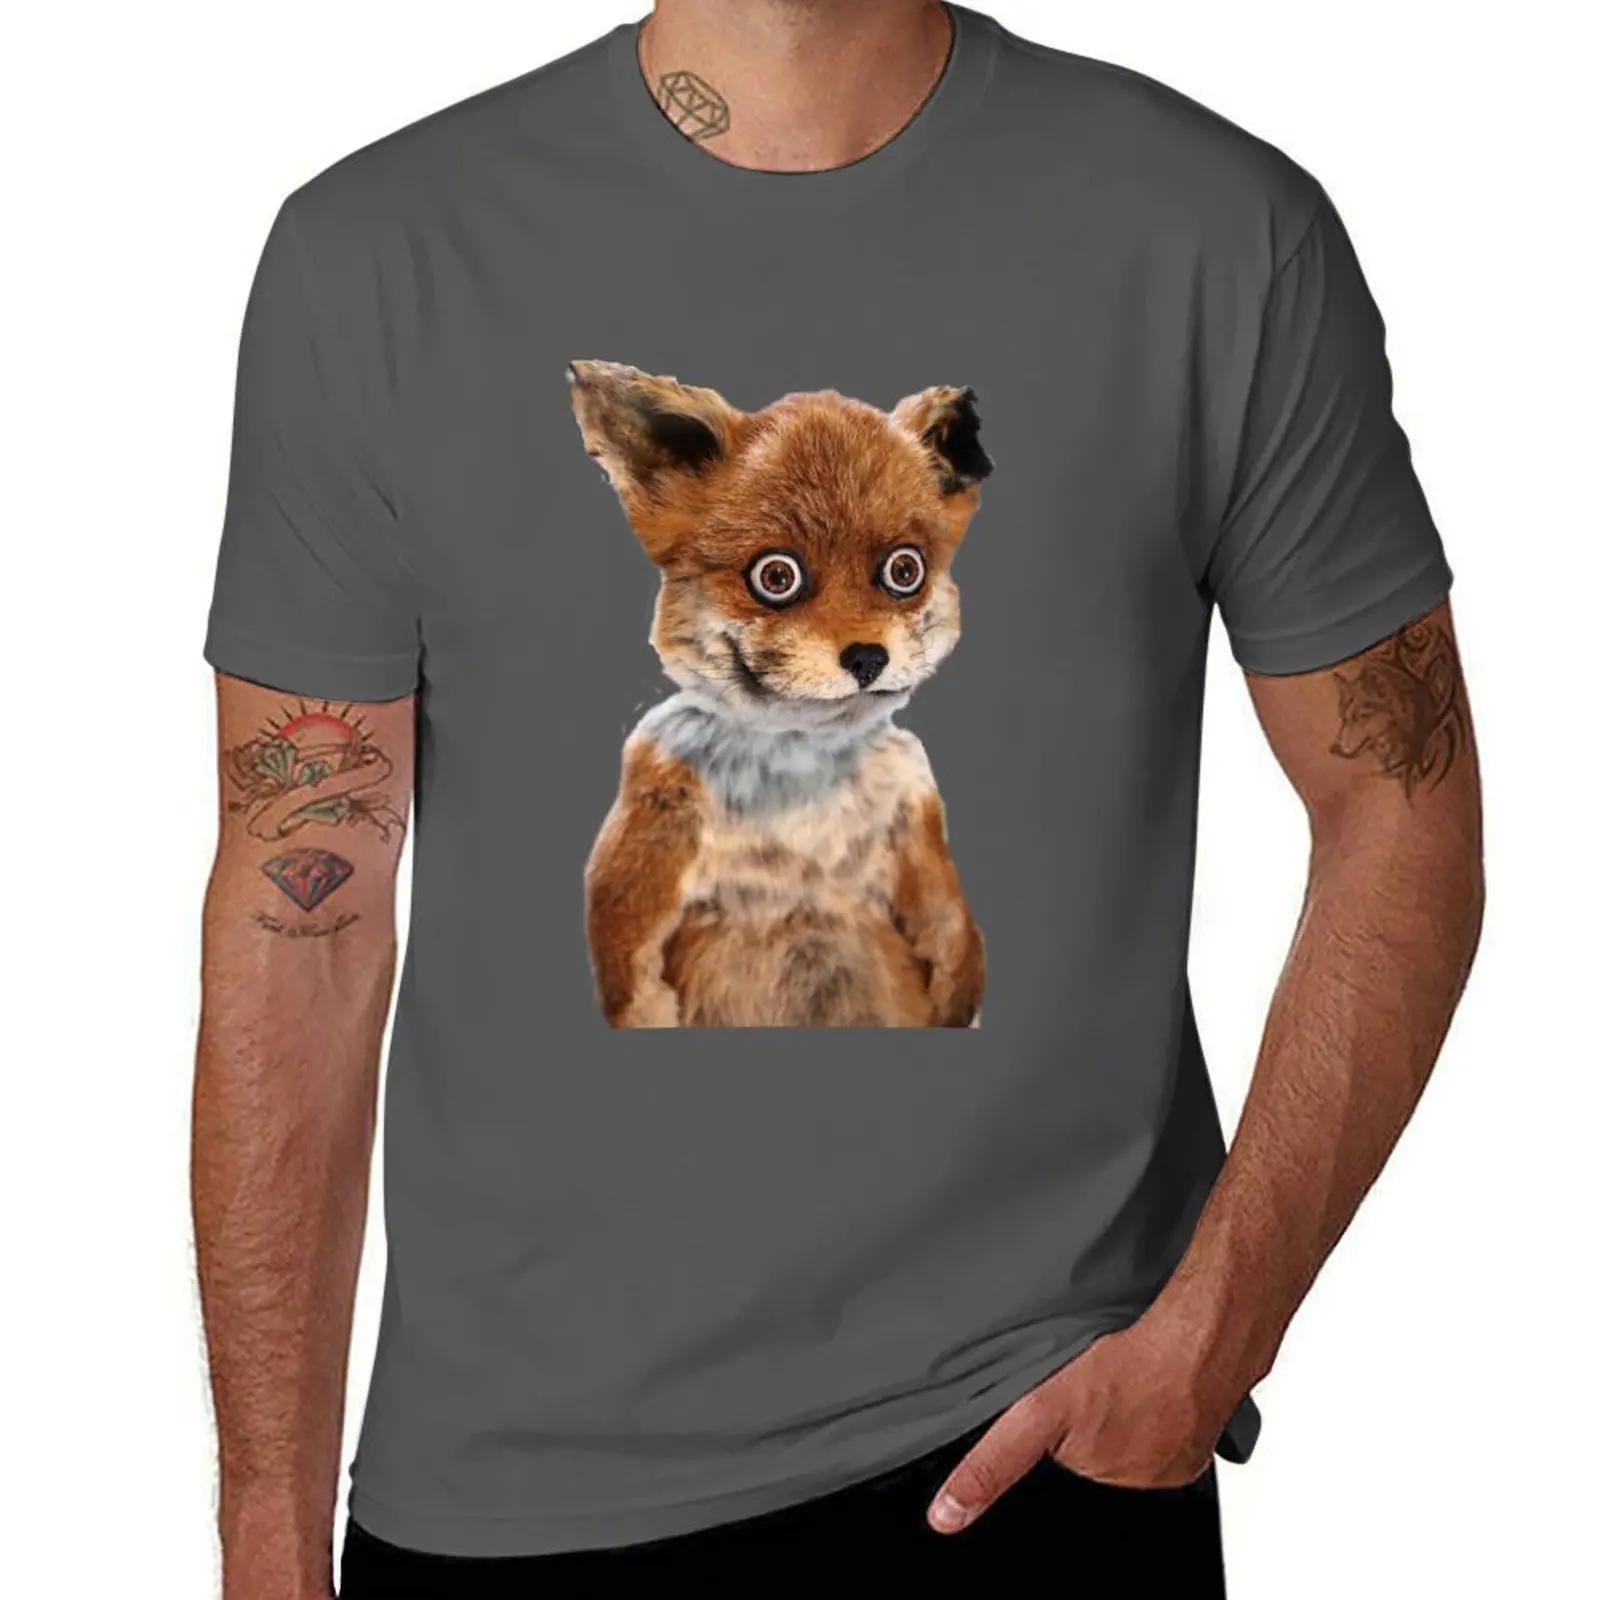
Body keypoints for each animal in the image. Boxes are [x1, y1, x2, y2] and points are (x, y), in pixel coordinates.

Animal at [567, 360, 991, 1028]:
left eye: (905, 570)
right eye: (776, 576)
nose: (867, 657)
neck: (799, 774)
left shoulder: (918, 826)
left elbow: (953, 938)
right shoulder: (647, 834)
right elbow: (630, 978)